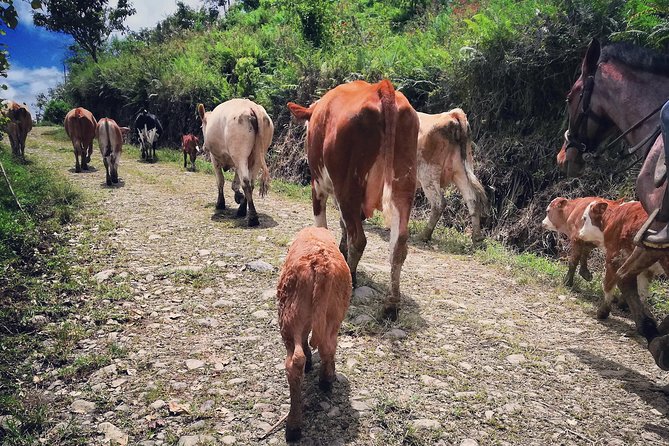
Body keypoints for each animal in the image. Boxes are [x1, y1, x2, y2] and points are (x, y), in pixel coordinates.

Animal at [276, 226, 352, 442]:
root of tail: (320, 263)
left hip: (289, 316)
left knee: (295, 360)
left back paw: (293, 426)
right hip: (335, 313)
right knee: (329, 346)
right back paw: (326, 380)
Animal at [414, 109, 482, 242]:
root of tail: (452, 114)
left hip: (428, 174)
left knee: (439, 203)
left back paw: (424, 235)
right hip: (461, 172)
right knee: (472, 199)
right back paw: (477, 238)